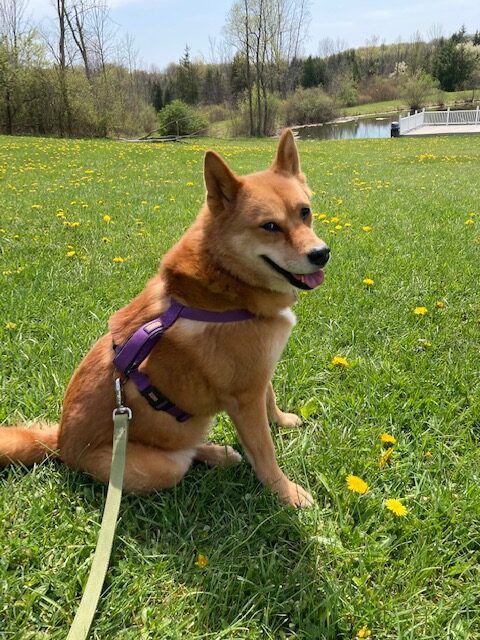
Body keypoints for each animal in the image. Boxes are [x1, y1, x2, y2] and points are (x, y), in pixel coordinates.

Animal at [0, 131, 330, 510]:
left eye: (305, 212)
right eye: (270, 226)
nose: (321, 254)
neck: (226, 284)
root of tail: (59, 444)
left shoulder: (257, 375)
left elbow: (270, 399)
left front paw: (282, 421)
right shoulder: (244, 395)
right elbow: (264, 451)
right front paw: (285, 492)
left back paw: (219, 453)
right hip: (160, 467)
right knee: (183, 457)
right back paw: (215, 455)